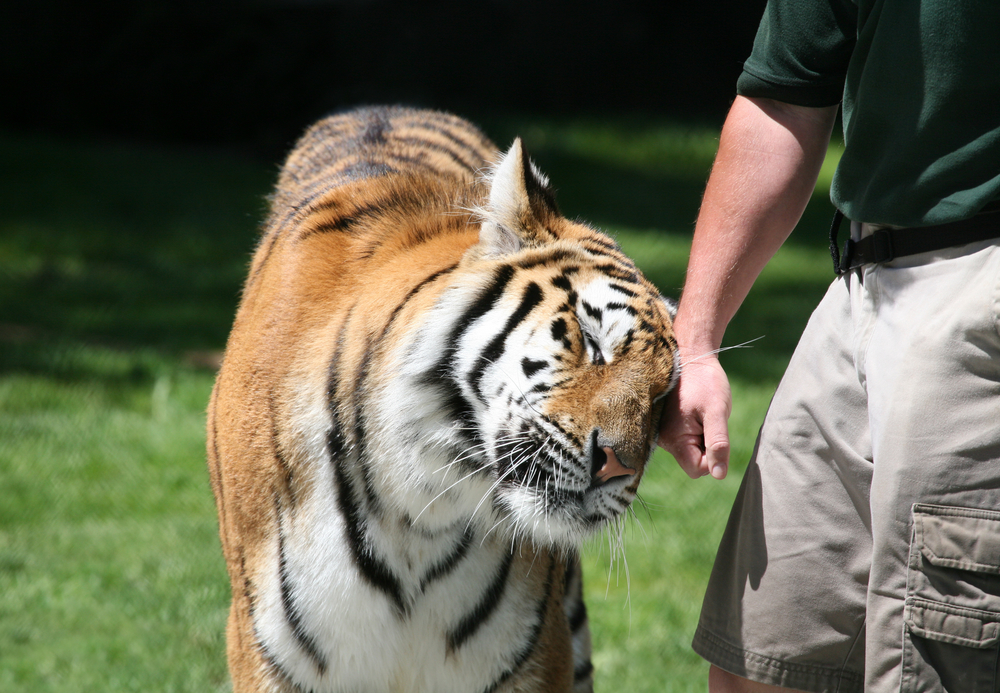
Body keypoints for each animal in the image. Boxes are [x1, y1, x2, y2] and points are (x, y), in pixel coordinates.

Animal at [207, 106, 679, 693]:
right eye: (592, 341)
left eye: (663, 398)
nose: (618, 466)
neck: (420, 511)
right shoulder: (267, 652)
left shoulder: (537, 653)